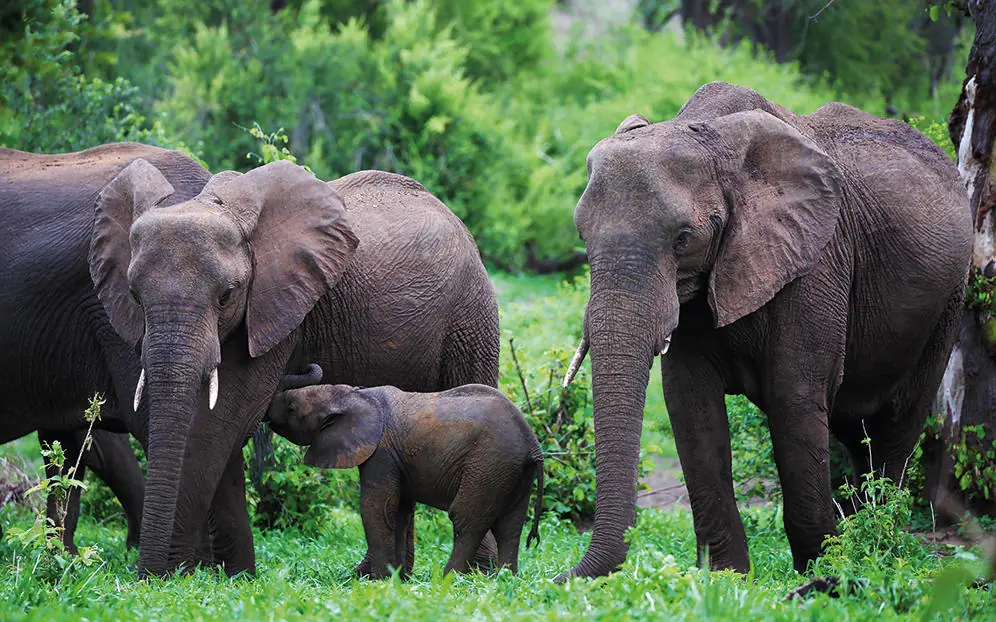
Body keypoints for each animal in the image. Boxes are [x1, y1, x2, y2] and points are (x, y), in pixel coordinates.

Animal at [88, 159, 500, 577]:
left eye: (227, 295)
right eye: (134, 295)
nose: (145, 574)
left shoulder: (278, 305)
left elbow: (223, 418)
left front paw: (172, 575)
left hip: (471, 312)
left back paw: (474, 574)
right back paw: (382, 575)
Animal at [265, 364, 544, 578]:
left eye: (291, 408)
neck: (352, 394)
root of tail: (533, 445)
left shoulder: (381, 452)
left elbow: (376, 508)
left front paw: (379, 581)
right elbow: (400, 512)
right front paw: (397, 579)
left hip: (488, 465)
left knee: (466, 520)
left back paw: (448, 579)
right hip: (511, 470)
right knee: (510, 525)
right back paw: (506, 579)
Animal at [559, 81, 973, 578]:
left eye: (683, 239)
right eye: (582, 235)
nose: (559, 577)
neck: (707, 136)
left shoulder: (816, 261)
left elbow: (793, 398)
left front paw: (822, 571)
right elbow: (690, 403)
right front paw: (727, 576)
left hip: (949, 300)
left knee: (897, 424)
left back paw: (876, 543)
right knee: (857, 433)